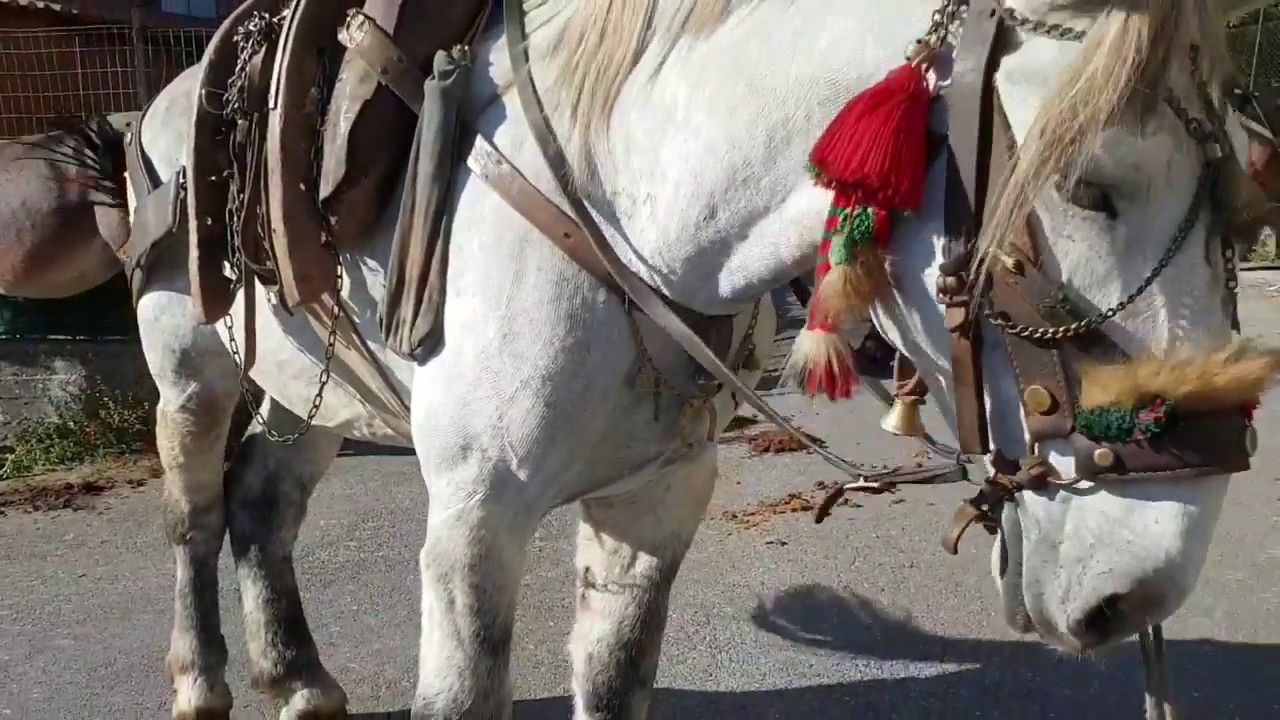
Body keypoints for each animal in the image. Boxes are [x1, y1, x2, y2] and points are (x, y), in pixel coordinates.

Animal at [88, 0, 1280, 717]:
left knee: (265, 504)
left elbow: (615, 681)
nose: (1143, 591)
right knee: (196, 515)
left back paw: (297, 677)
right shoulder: (474, 517)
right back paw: (202, 682)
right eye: (1089, 186)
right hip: (191, 375)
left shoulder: (651, 508)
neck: (628, 198)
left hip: (311, 389)